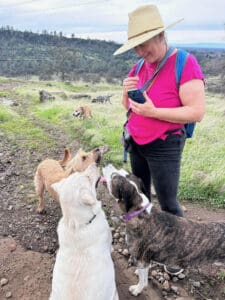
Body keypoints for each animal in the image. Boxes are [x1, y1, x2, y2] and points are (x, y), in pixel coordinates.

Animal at [102, 164, 225, 298]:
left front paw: (137, 289)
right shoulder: (145, 261)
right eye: (124, 172)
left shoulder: (141, 259)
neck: (140, 211)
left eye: (113, 176)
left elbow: (143, 280)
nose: (107, 164)